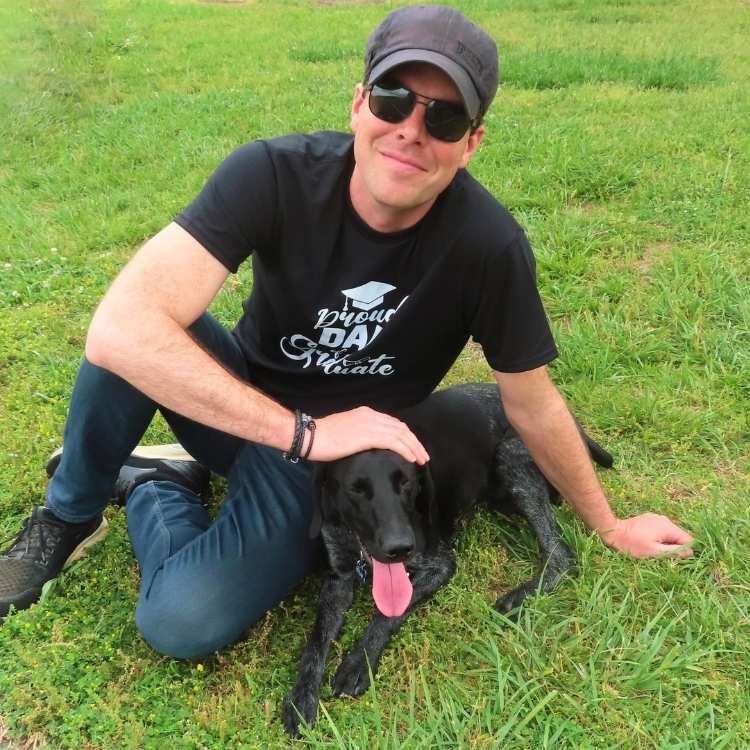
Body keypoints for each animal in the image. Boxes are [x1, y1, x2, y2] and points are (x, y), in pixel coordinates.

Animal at [282, 384, 612, 736]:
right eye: (356, 490)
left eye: (406, 482)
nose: (400, 548)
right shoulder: (339, 580)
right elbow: (316, 641)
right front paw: (301, 697)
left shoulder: (439, 565)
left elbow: (386, 616)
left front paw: (358, 662)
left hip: (511, 457)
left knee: (561, 555)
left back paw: (519, 596)